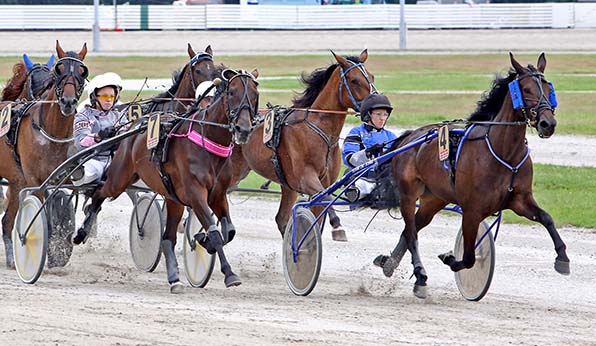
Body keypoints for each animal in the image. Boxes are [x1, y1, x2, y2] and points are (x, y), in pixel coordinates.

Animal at [0, 41, 88, 268]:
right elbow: (40, 217)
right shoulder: (34, 180)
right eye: (59, 69)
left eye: (82, 71)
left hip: (16, 182)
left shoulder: (58, 179)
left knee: (7, 221)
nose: (68, 101)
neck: (52, 132)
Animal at [73, 67, 260, 292]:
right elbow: (215, 232)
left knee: (167, 239)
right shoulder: (196, 194)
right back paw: (82, 231)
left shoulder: (217, 195)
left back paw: (174, 278)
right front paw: (229, 273)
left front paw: (202, 239)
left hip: (173, 199)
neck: (206, 143)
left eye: (255, 95)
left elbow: (229, 231)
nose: (243, 129)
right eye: (232, 92)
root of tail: (133, 127)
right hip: (119, 178)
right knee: (99, 194)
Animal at [226, 50, 374, 242]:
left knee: (281, 219)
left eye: (371, 77)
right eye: (355, 80)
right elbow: (325, 198)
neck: (320, 130)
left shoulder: (323, 181)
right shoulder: (306, 178)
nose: (376, 104)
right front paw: (337, 226)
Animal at [378, 52, 568, 298]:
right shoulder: (472, 210)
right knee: (411, 234)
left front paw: (562, 258)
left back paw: (390, 264)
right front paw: (449, 258)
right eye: (525, 89)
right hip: (409, 195)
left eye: (547, 87)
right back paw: (420, 275)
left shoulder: (519, 200)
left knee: (410, 229)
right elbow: (468, 258)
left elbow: (546, 218)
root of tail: (410, 137)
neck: (504, 153)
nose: (548, 123)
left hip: (435, 198)